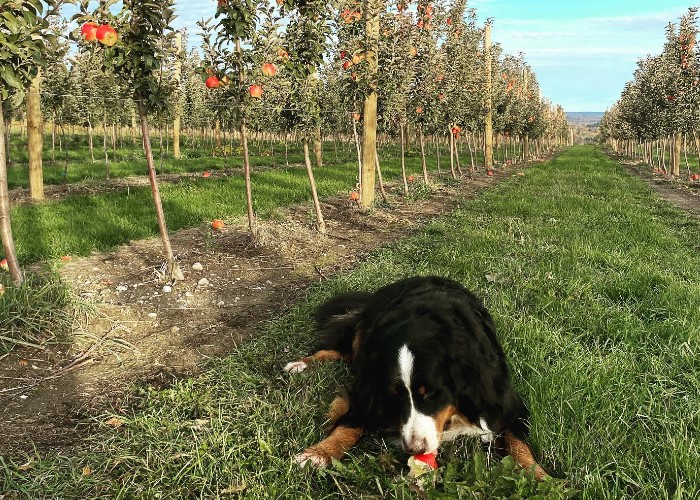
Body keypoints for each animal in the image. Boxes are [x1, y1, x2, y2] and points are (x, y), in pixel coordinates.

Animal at [284, 276, 548, 478]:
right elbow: (348, 424)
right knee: (336, 349)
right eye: (394, 395)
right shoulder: (368, 390)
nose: (414, 449)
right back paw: (301, 364)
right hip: (361, 334)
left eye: (432, 393)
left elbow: (518, 444)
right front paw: (318, 454)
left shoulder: (504, 402)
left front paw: (540, 477)